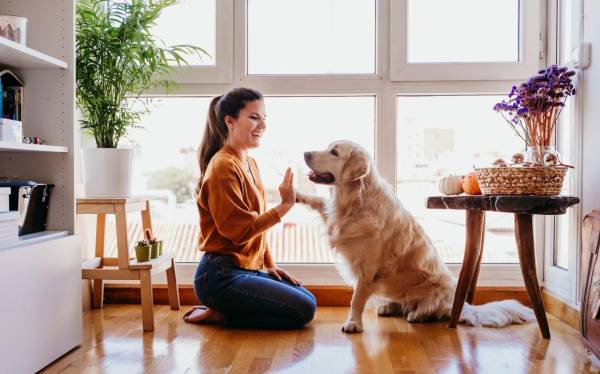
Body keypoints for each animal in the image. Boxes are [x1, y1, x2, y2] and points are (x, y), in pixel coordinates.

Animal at [298, 141, 536, 334]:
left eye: (334, 152)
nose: (305, 153)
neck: (354, 200)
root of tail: (463, 305)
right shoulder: (334, 218)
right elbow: (317, 201)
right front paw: (295, 193)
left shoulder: (367, 270)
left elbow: (356, 299)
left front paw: (353, 323)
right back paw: (389, 307)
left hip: (435, 293)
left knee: (431, 311)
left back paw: (417, 314)